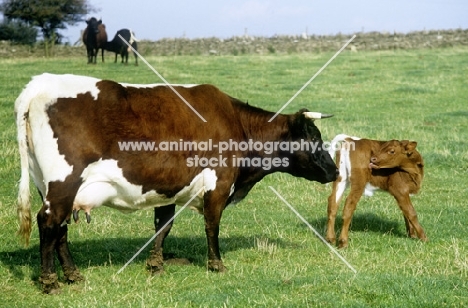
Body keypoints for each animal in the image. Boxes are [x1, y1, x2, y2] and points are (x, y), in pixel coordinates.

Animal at [14, 72, 336, 294]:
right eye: (313, 138)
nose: (334, 171)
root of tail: (39, 84)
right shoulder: (218, 184)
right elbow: (212, 225)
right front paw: (216, 264)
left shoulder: (167, 188)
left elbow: (163, 227)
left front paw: (155, 265)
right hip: (63, 182)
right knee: (49, 224)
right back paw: (50, 282)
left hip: (49, 186)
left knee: (60, 229)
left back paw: (73, 275)